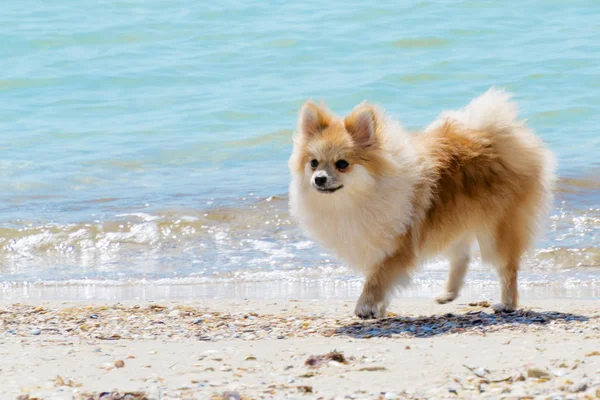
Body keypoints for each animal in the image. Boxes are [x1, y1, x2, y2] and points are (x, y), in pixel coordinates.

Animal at [288, 88, 556, 318]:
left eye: (342, 164)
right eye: (314, 163)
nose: (319, 179)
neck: (356, 199)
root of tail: (494, 135)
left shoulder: (398, 246)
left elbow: (377, 279)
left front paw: (365, 306)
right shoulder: (376, 243)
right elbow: (380, 279)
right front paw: (379, 309)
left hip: (496, 230)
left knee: (507, 268)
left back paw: (507, 304)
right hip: (455, 217)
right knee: (461, 256)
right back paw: (448, 293)